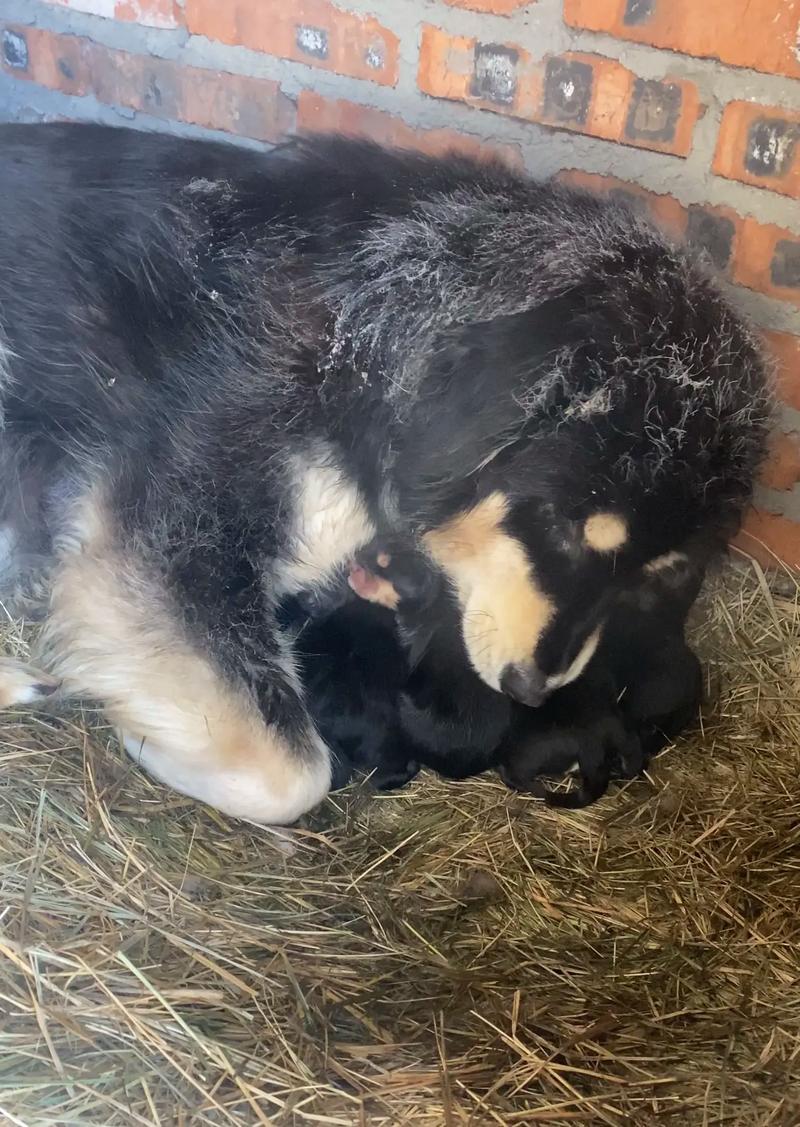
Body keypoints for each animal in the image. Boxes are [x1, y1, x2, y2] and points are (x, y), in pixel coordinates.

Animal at [0, 127, 770, 824]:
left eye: (650, 575)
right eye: (558, 524)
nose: (530, 689)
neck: (364, 320)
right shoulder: (173, 529)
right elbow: (293, 773)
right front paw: (140, 735)